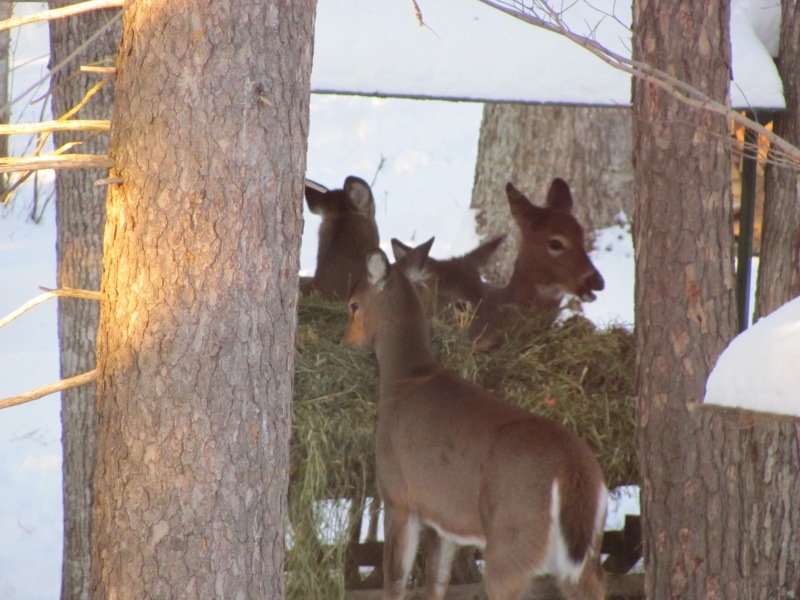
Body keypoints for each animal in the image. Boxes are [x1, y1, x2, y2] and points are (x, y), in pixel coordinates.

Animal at [340, 244, 608, 600]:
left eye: (353, 304)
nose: (347, 343)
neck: (405, 380)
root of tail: (574, 471)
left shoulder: (397, 494)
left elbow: (395, 581)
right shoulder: (443, 516)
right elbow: (436, 583)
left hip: (512, 543)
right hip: (584, 554)